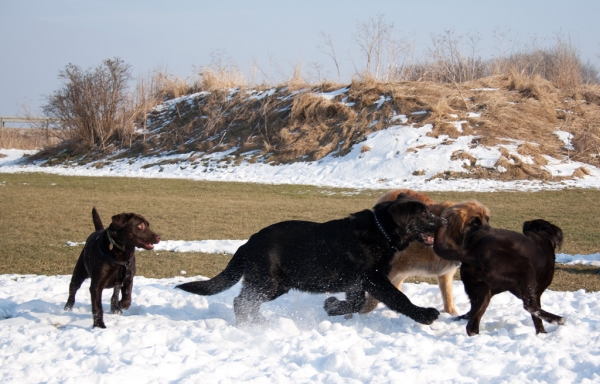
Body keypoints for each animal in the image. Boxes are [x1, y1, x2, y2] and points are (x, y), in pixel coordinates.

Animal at [176, 194, 442, 326]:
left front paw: (332, 306)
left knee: (247, 302)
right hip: (267, 282)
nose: (444, 221)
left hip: (277, 286)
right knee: (242, 302)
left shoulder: (357, 283)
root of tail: (248, 243)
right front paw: (424, 315)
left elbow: (355, 304)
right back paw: (247, 328)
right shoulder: (374, 279)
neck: (381, 231)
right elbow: (399, 298)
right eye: (424, 214)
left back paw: (261, 323)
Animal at [358, 189, 490, 316]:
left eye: (487, 220)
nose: (490, 233)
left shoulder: (445, 274)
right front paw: (362, 314)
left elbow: (448, 296)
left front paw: (451, 314)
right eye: (475, 222)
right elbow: (374, 297)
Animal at [434, 219, 564, 336]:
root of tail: (473, 252)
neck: (543, 236)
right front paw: (543, 333)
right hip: (525, 267)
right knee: (529, 306)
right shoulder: (536, 292)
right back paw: (558, 319)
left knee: (472, 324)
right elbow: (536, 316)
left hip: (482, 293)